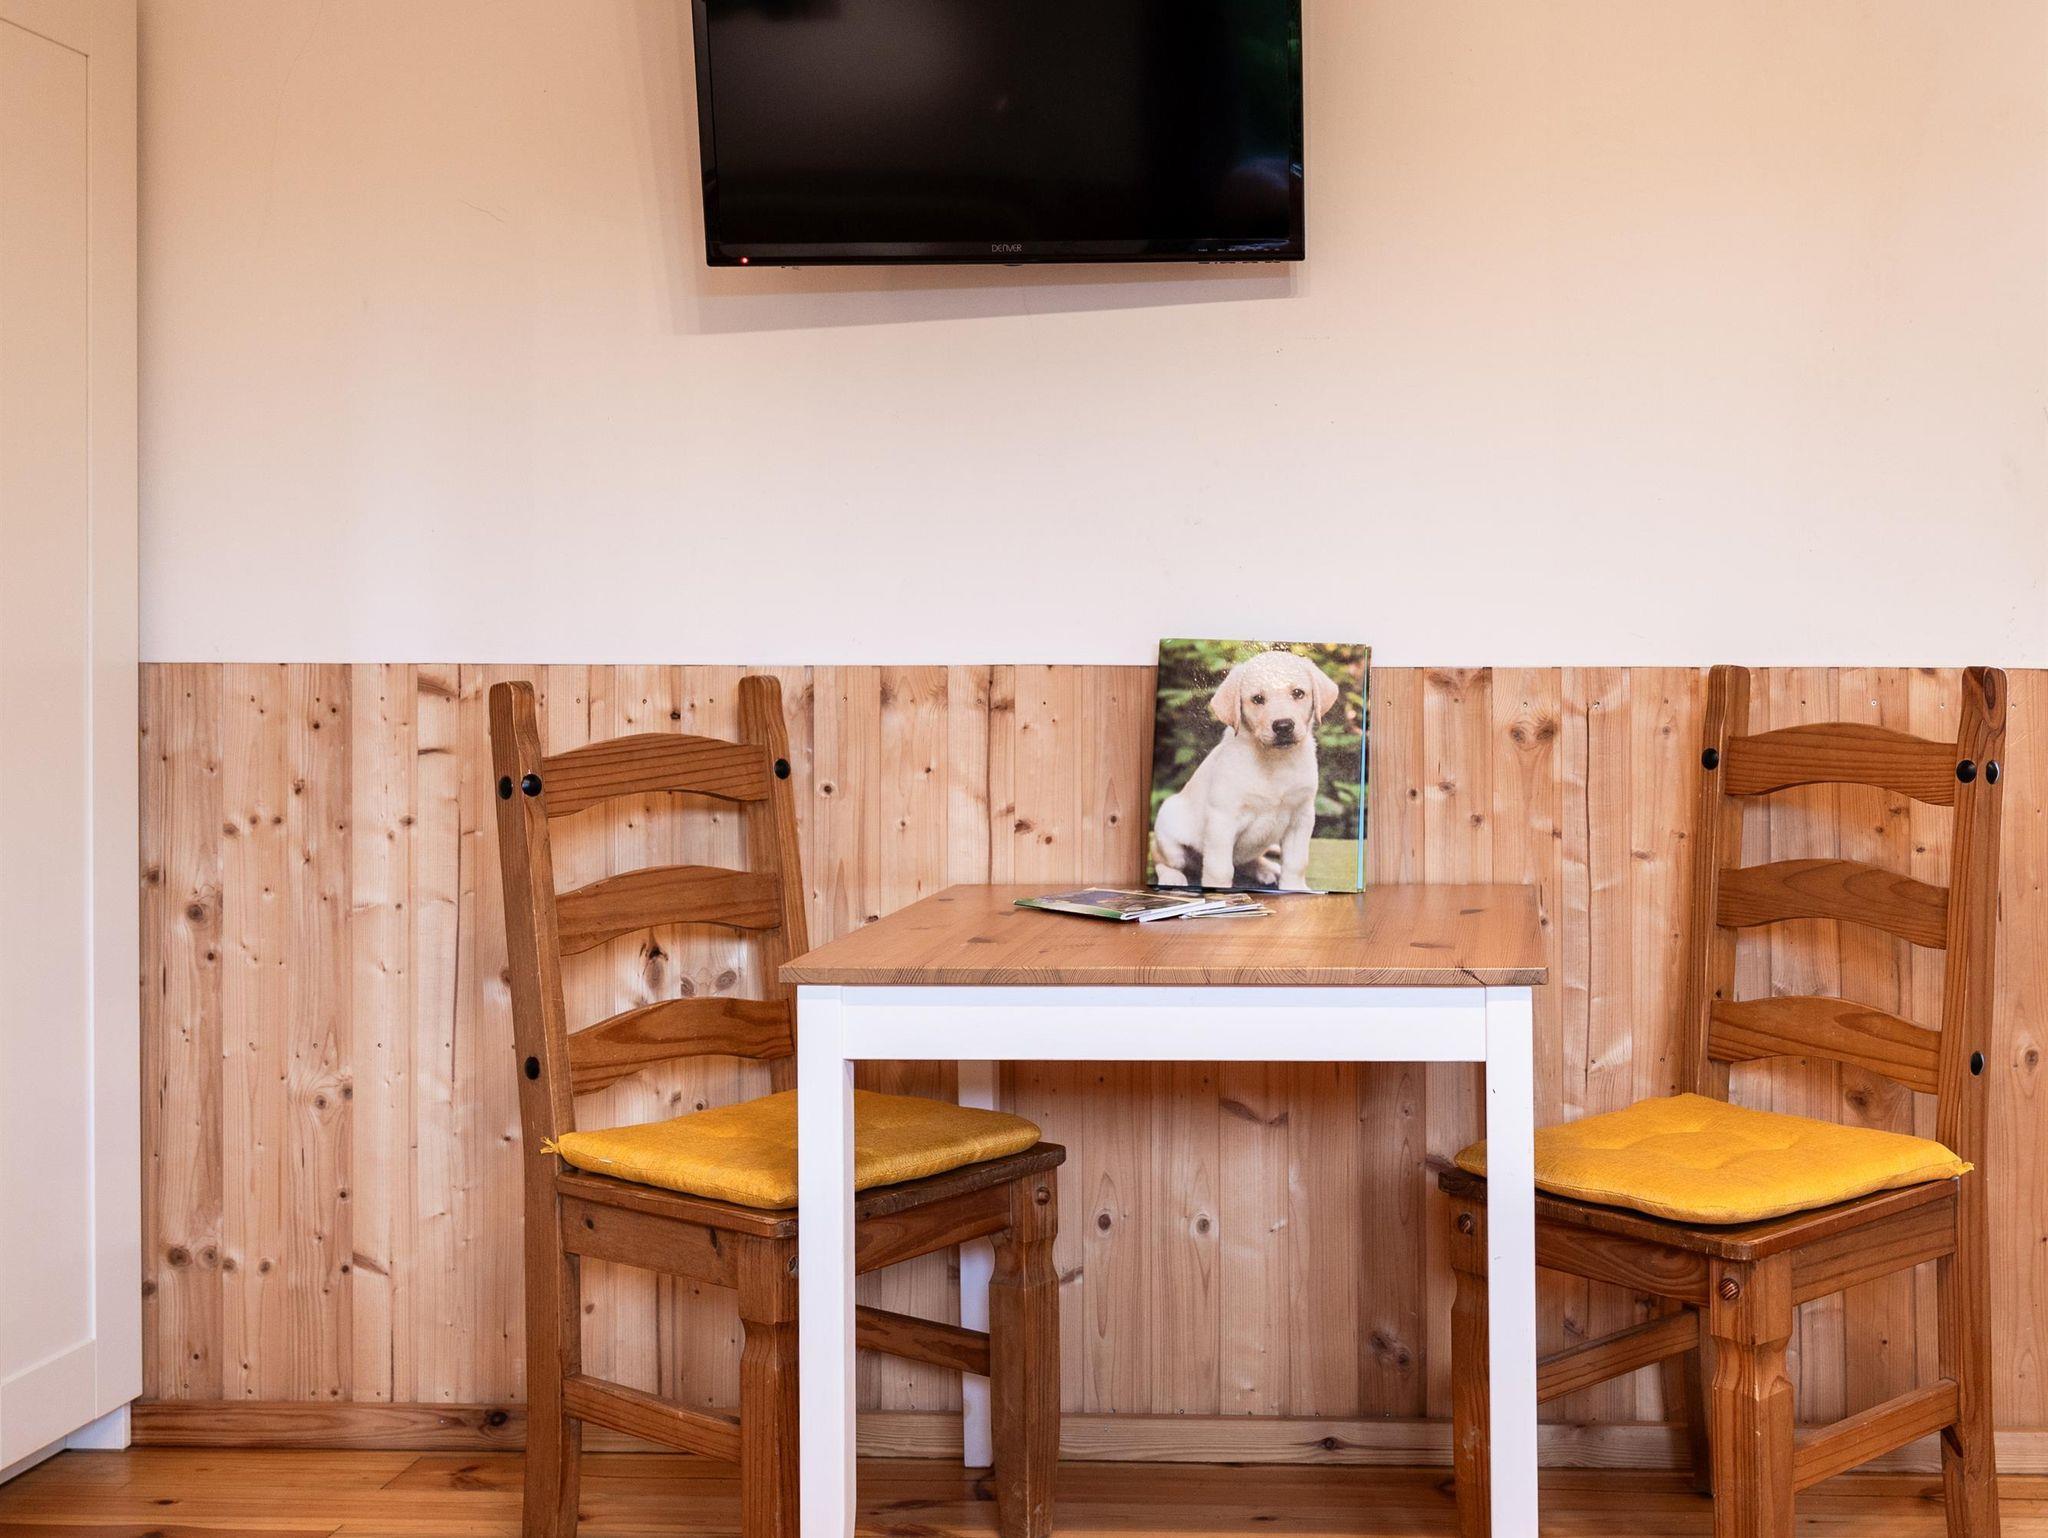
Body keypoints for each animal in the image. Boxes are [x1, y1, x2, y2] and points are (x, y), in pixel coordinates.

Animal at [1151, 650, 1341, 890]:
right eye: (1257, 699)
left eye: (1298, 693)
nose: (1283, 726)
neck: (1274, 760)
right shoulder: (1222, 819)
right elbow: (1220, 868)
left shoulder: (1302, 816)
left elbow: (1297, 862)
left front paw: (1294, 888)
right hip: (1169, 836)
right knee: (1161, 859)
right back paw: (1172, 878)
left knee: (1247, 860)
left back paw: (1266, 869)